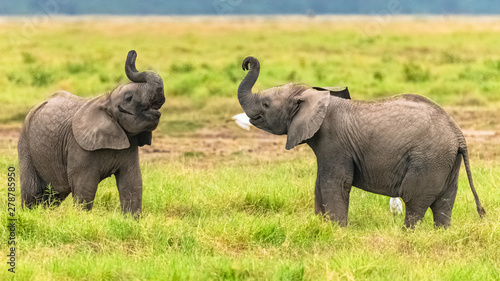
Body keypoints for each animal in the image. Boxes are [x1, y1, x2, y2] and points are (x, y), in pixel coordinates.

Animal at [18, 49, 164, 214]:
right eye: (129, 98)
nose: (132, 52)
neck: (106, 100)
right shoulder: (78, 146)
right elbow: (85, 187)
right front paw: (82, 217)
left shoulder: (129, 145)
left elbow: (132, 183)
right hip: (26, 146)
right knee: (32, 192)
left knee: (54, 195)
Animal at [236, 56, 486, 228]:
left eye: (266, 104)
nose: (247, 63)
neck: (315, 97)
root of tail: (458, 134)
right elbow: (319, 184)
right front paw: (321, 226)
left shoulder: (334, 143)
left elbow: (334, 183)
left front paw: (337, 230)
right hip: (446, 162)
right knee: (444, 203)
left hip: (428, 160)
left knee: (415, 202)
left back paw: (407, 234)